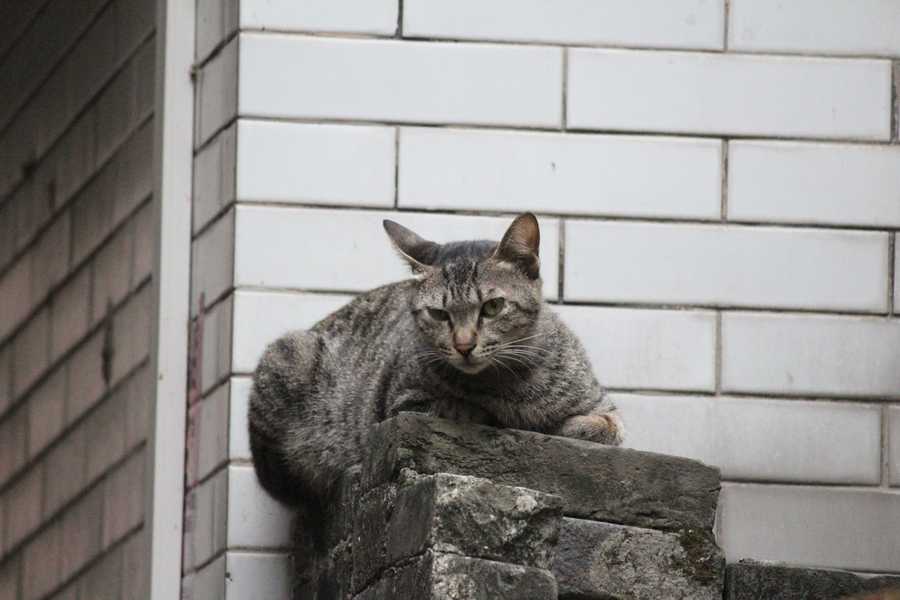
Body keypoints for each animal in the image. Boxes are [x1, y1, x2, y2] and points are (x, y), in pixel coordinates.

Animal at [250, 212, 624, 506]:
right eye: (438, 314)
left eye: (493, 306)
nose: (464, 345)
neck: (512, 378)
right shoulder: (403, 403)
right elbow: (464, 408)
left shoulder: (605, 408)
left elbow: (606, 426)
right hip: (289, 356)